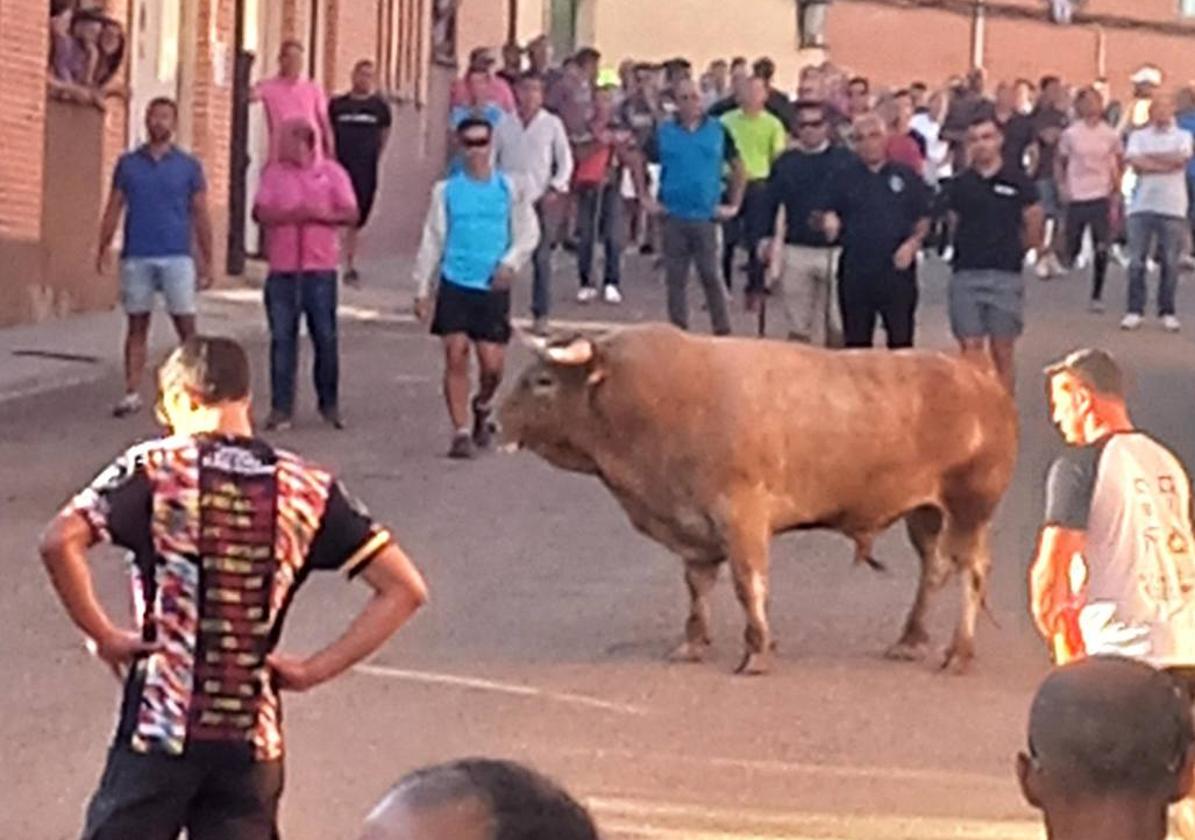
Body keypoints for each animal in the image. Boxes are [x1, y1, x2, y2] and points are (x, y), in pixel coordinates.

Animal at [497, 325, 1018, 673]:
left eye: (543, 380)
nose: (493, 417)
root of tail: (978, 377)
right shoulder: (693, 528)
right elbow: (698, 584)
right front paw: (692, 643)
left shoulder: (741, 515)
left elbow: (749, 583)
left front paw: (756, 650)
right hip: (926, 513)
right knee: (933, 569)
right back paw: (911, 639)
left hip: (970, 509)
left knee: (971, 572)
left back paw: (957, 652)